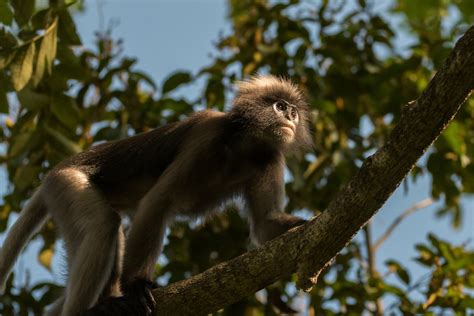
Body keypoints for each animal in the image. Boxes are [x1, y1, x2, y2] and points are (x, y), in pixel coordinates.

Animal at [0, 75, 312, 314]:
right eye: (280, 106)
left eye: (294, 112)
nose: (290, 117)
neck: (243, 145)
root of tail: (53, 173)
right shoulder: (206, 136)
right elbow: (158, 201)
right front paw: (137, 286)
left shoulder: (270, 159)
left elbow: (264, 224)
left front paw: (307, 225)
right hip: (67, 183)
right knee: (103, 225)